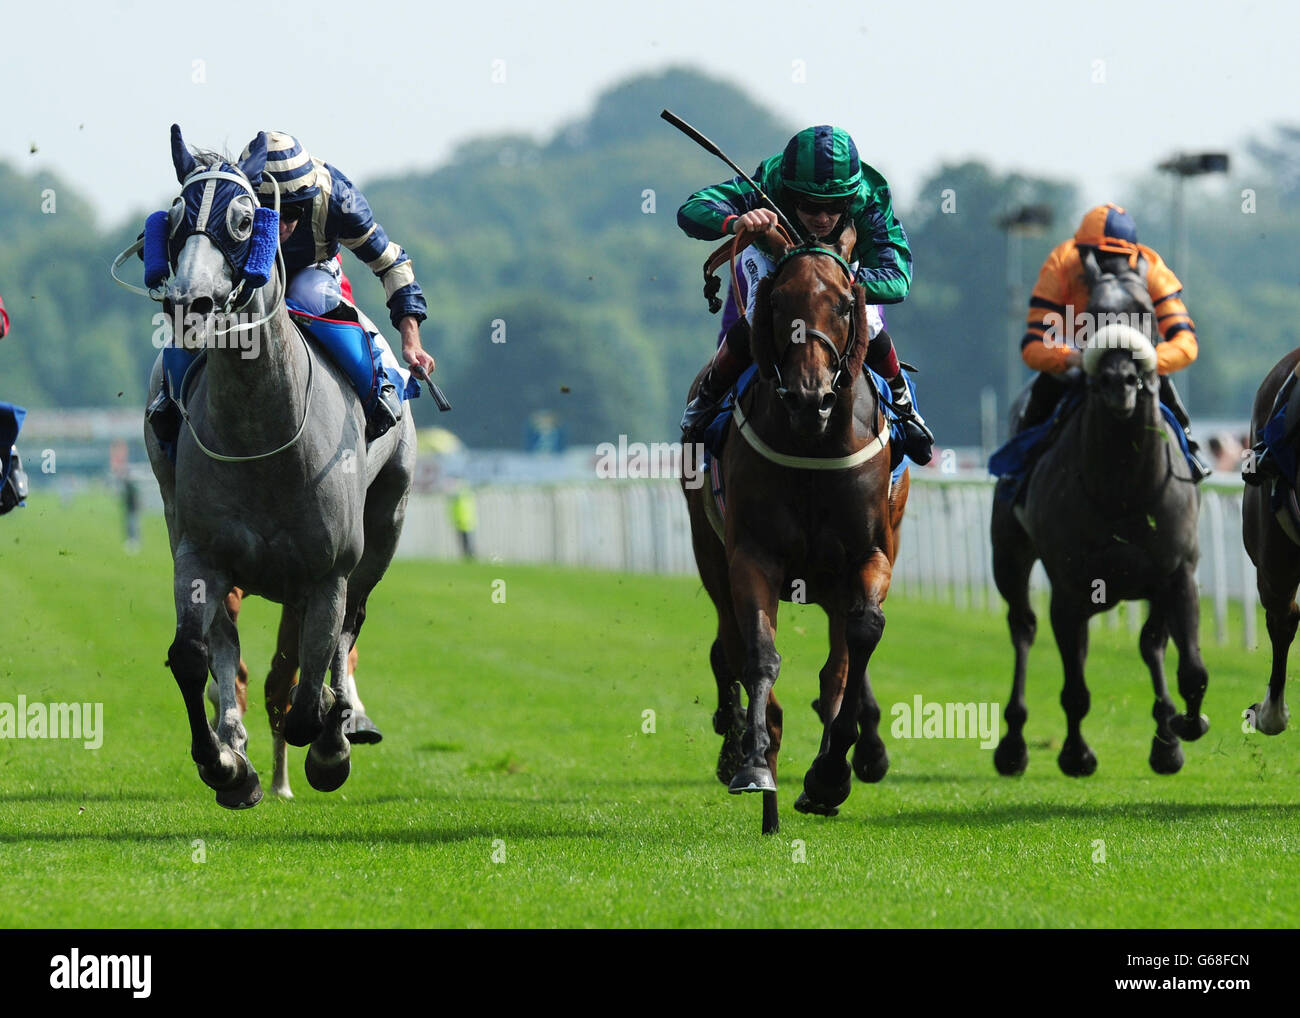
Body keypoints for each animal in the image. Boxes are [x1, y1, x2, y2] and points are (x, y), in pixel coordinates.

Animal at [138, 129, 410, 811]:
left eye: (242, 221)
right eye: (175, 221)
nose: (189, 304)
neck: (263, 433)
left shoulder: (329, 569)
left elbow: (312, 686)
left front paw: (331, 746)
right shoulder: (201, 553)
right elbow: (192, 656)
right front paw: (227, 766)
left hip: (386, 522)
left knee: (346, 630)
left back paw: (345, 724)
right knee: (229, 650)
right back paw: (237, 738)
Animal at [686, 223, 909, 837]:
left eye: (843, 304)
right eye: (778, 302)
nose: (811, 397)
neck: (814, 444)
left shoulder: (869, 556)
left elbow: (861, 641)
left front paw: (831, 774)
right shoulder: (752, 557)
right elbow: (759, 655)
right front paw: (754, 765)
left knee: (836, 669)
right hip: (709, 553)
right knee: (727, 646)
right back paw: (743, 748)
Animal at [993, 250, 1206, 774]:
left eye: (1146, 311)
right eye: (1090, 312)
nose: (1118, 380)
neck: (1123, 488)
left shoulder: (1178, 572)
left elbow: (1187, 665)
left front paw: (1179, 731)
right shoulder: (1069, 586)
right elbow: (1074, 687)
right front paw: (1075, 754)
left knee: (1144, 644)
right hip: (1009, 556)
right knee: (1023, 627)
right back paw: (1013, 745)